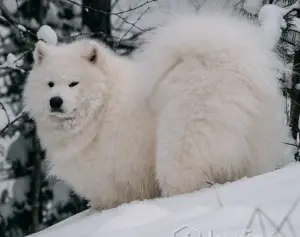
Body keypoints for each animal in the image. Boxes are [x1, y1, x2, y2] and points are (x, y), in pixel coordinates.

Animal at [23, 6, 292, 209]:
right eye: (50, 84)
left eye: (73, 83)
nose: (55, 101)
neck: (102, 107)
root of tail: (224, 63)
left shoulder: (107, 177)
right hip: (255, 141)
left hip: (179, 147)